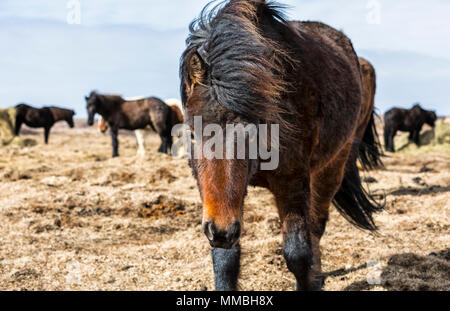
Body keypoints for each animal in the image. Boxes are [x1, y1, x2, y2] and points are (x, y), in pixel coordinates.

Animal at [179, 0, 384, 292]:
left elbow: (297, 253)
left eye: (249, 133)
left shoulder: (292, 182)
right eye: (193, 134)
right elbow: (225, 260)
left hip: (333, 166)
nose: (219, 231)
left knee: (316, 226)